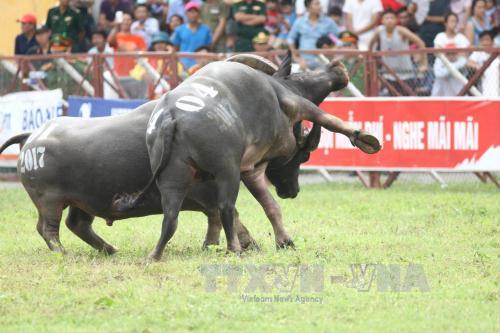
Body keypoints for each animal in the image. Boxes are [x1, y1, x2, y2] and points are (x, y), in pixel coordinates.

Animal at [113, 52, 378, 260]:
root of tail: (171, 117)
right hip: (226, 172)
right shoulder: (296, 104)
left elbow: (271, 206)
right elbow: (329, 119)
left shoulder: (252, 170)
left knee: (171, 218)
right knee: (225, 208)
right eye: (304, 158)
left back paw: (155, 255)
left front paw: (285, 241)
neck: (279, 85)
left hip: (173, 178)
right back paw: (235, 249)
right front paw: (364, 138)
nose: (291, 191)